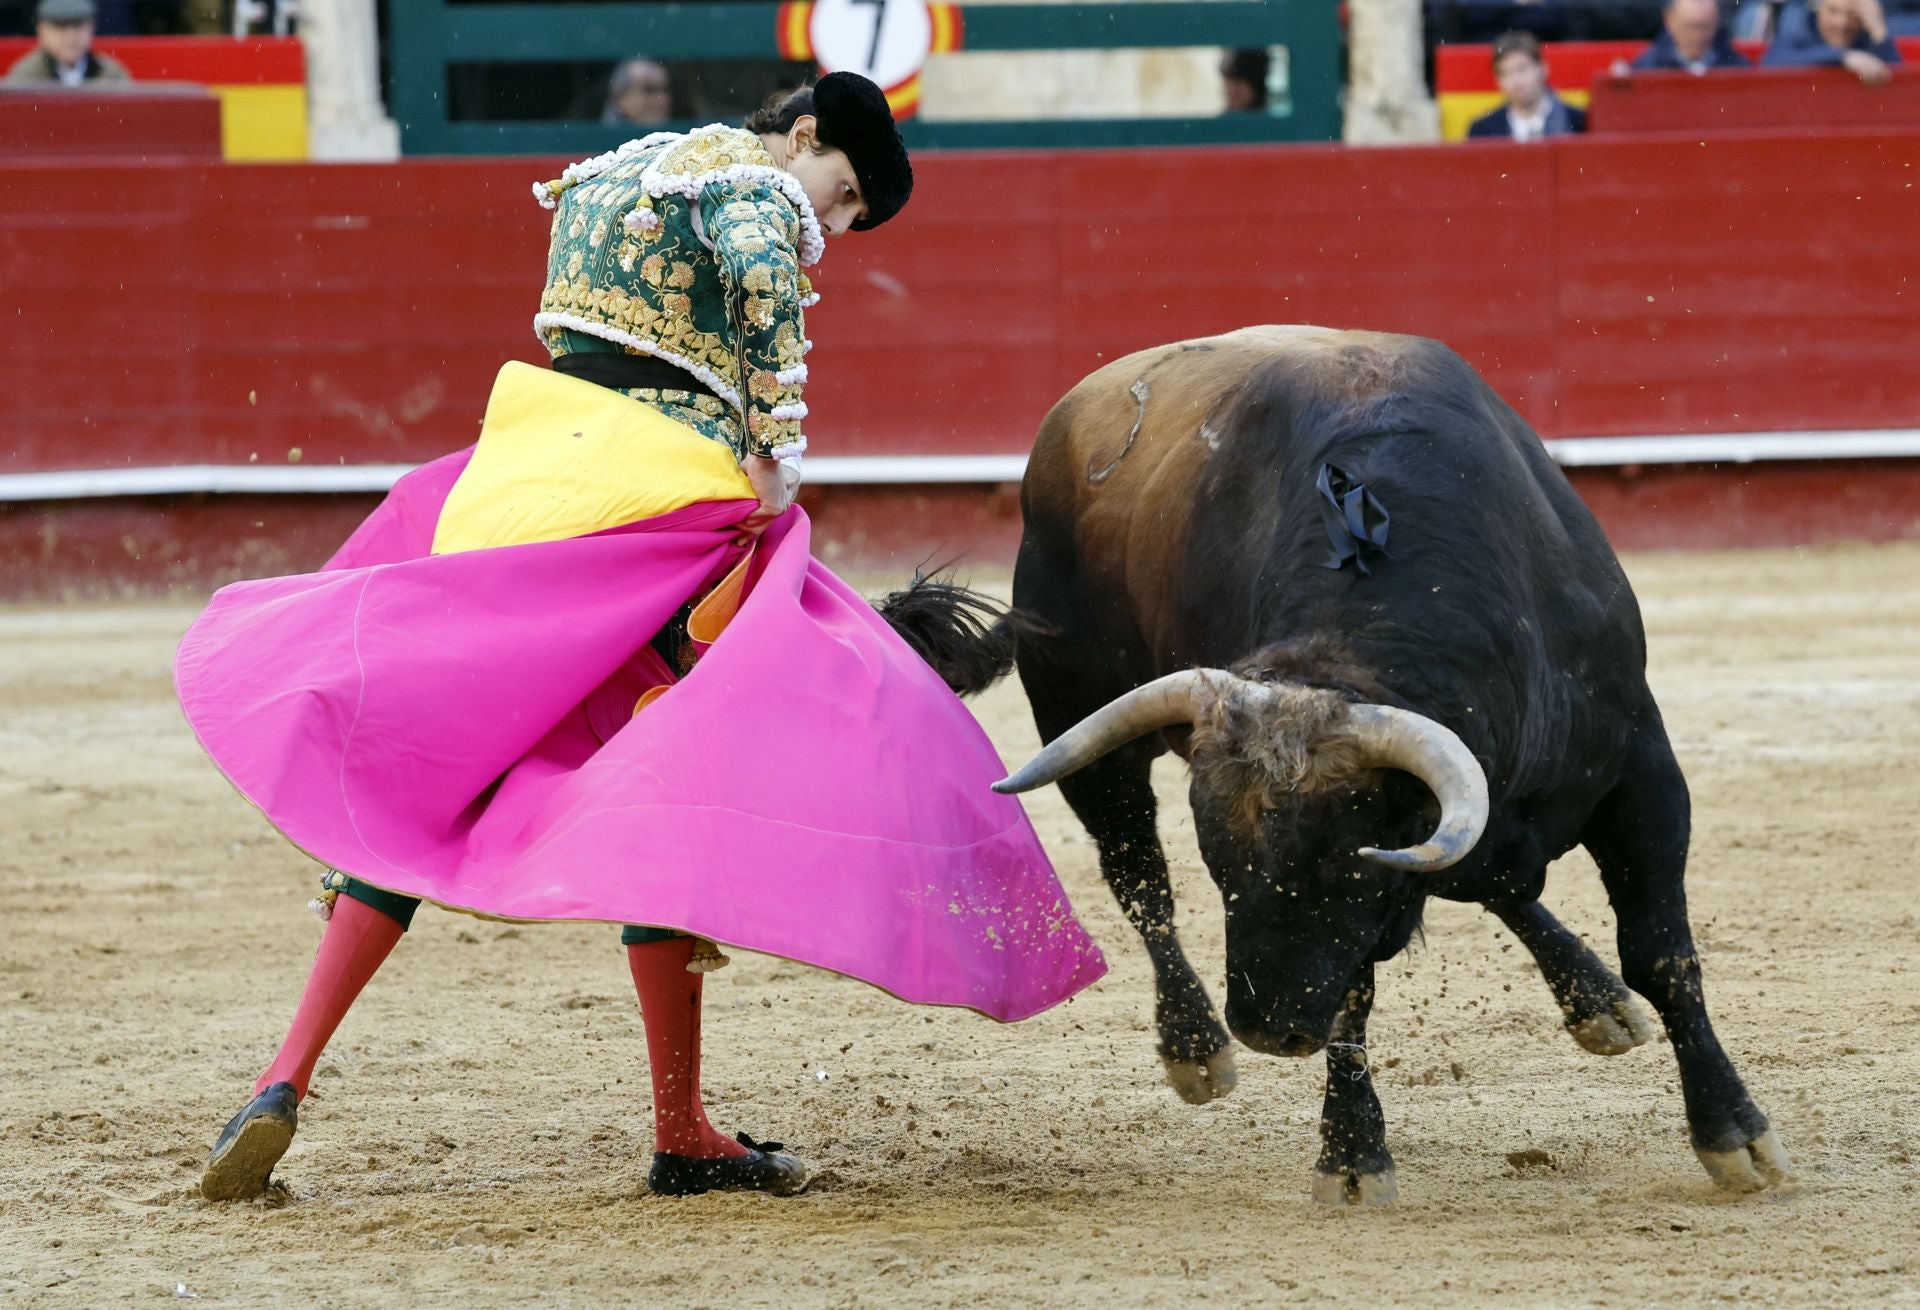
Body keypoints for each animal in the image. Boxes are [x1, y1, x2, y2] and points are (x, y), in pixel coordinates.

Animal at [998, 324, 1789, 1190]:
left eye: (1342, 863)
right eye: (1218, 860)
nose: (1268, 1026)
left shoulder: (1642, 775)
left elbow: (1660, 955)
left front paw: (1732, 1130)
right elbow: (1355, 989)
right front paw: (1352, 1155)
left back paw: (1598, 1001)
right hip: (1082, 734)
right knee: (1139, 880)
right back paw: (1195, 1048)